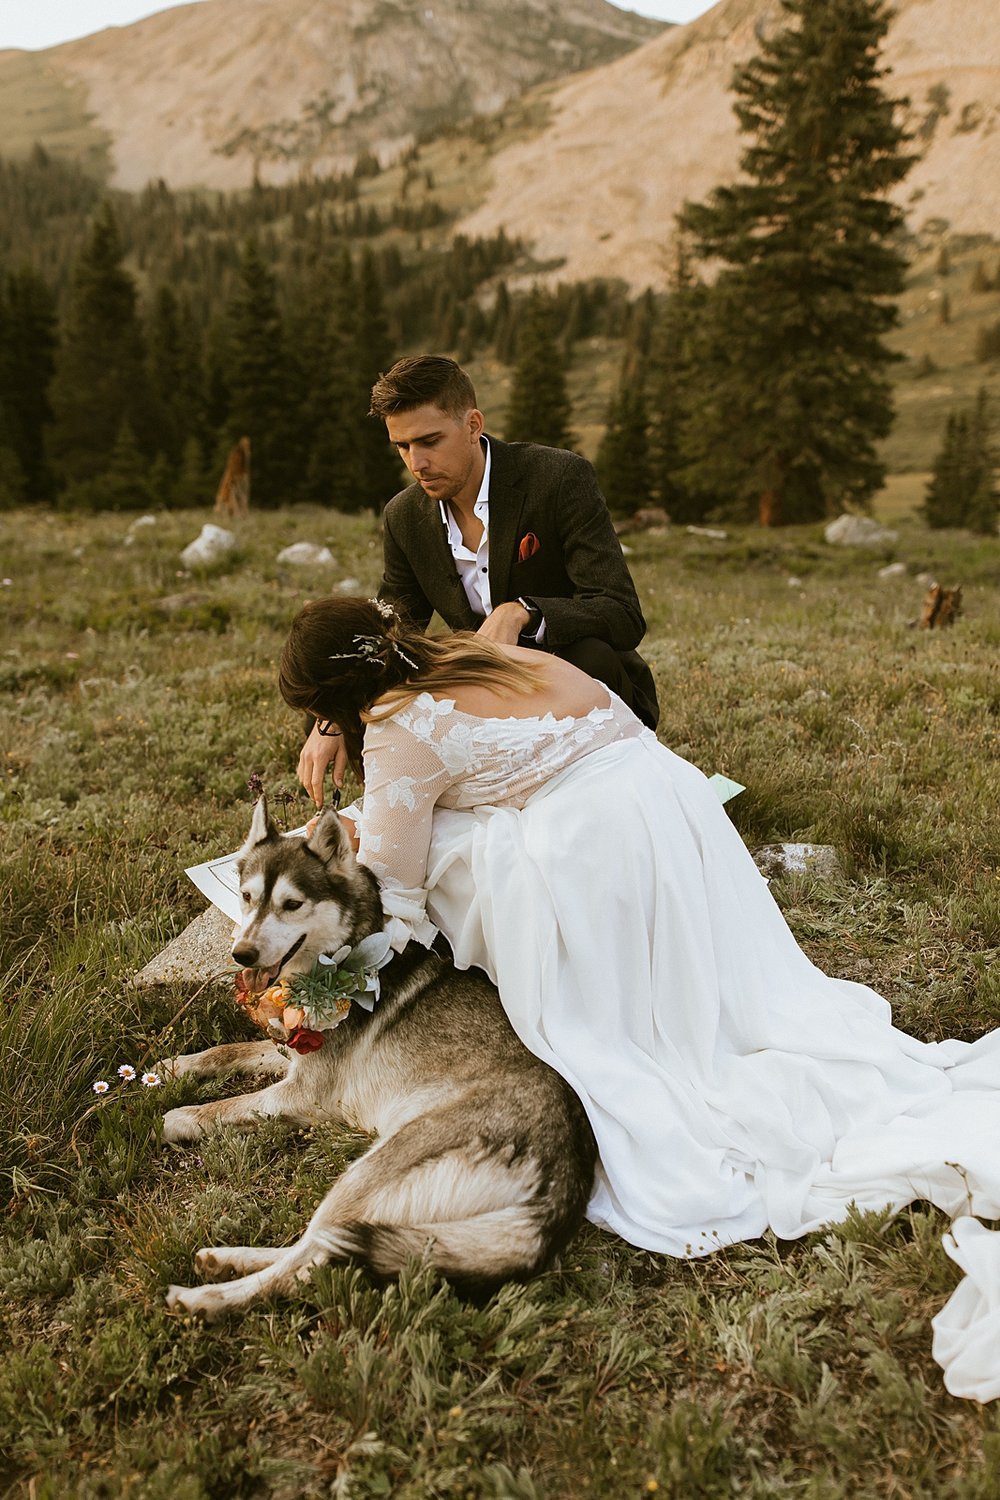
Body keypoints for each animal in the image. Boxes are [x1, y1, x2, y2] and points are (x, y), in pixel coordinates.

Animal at [161, 804, 599, 1320]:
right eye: (247, 898)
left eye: (292, 904)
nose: (241, 954)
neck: (348, 949)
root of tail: (565, 1180)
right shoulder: (294, 1054)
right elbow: (229, 1051)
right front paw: (177, 1067)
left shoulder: (302, 1096)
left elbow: (223, 1108)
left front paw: (180, 1115)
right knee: (326, 1247)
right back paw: (225, 1260)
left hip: (368, 1171)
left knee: (310, 1263)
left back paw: (204, 1298)